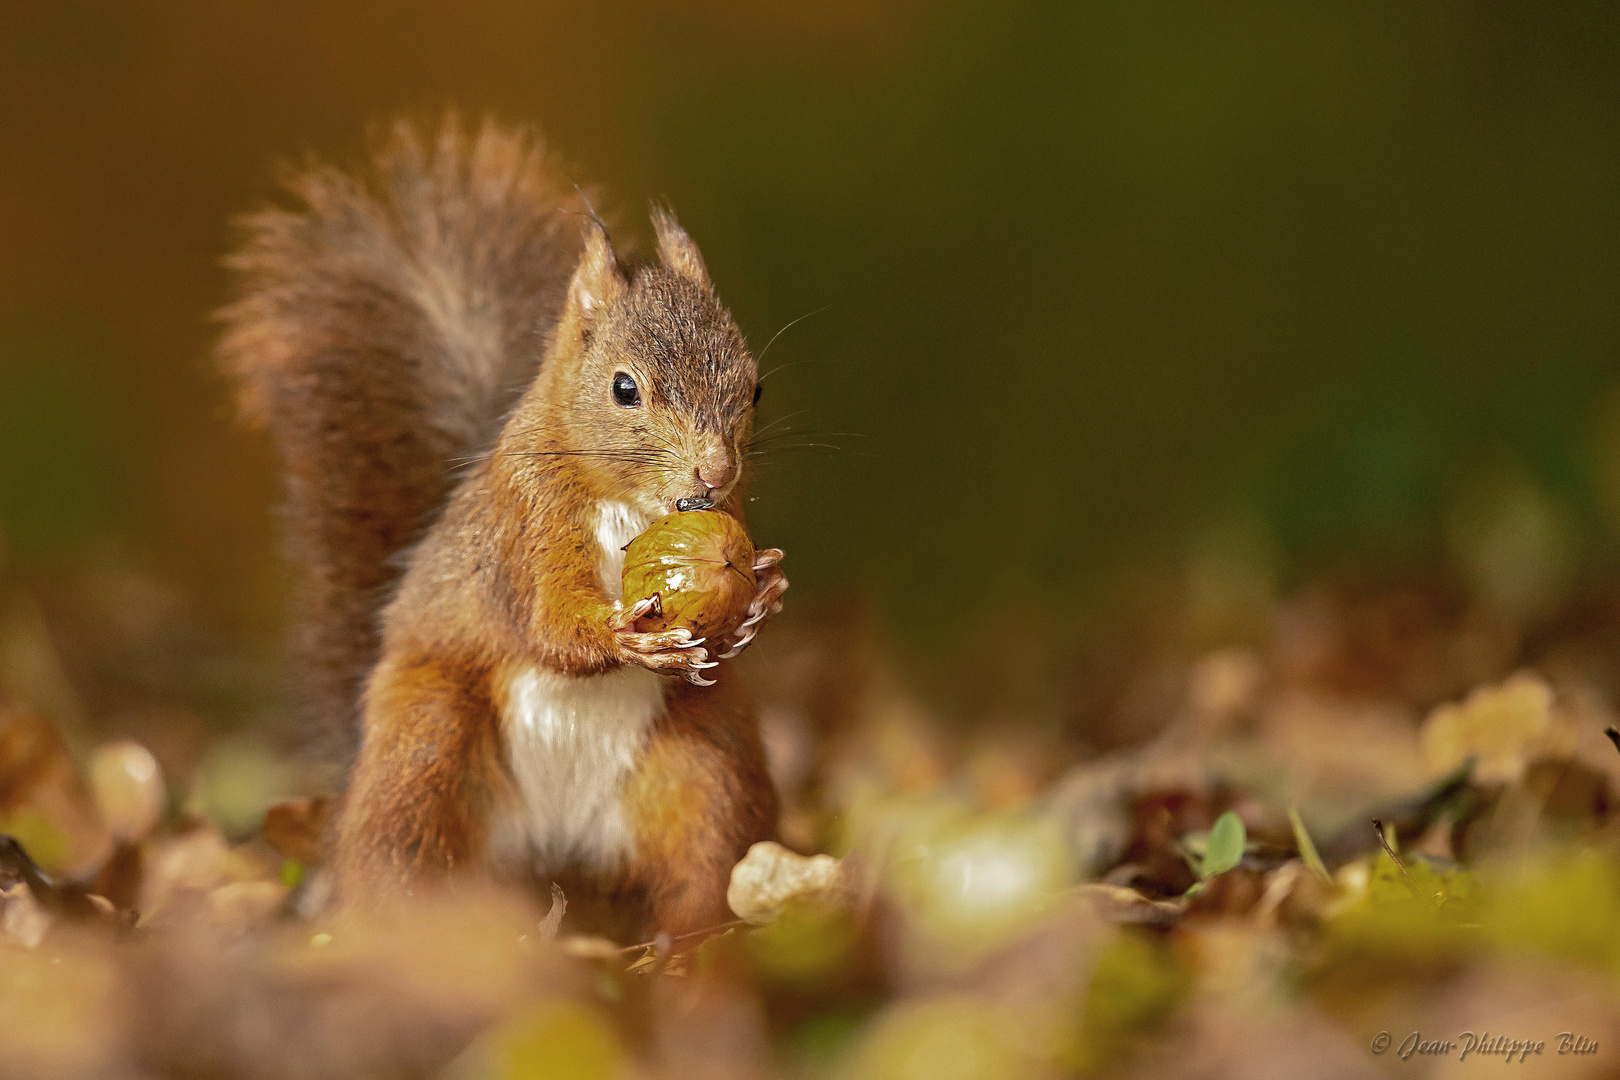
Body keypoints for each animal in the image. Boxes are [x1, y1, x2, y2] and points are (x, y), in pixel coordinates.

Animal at [218, 116, 787, 932]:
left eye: (755, 387)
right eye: (624, 388)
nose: (715, 474)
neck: (630, 500)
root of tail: (552, 847)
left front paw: (765, 588)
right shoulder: (526, 526)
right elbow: (548, 621)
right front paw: (621, 635)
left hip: (705, 764)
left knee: (704, 866)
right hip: (423, 747)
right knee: (397, 859)